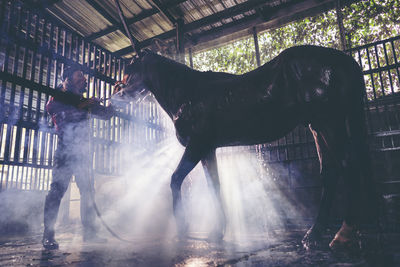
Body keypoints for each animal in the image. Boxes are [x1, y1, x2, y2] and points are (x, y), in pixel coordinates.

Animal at [112, 45, 378, 251]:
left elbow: (176, 178)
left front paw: (183, 227)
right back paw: (313, 235)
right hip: (318, 127)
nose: (116, 94)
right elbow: (214, 185)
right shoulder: (208, 150)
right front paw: (217, 231)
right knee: (331, 172)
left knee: (347, 166)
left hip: (329, 123)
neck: (188, 94)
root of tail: (345, 61)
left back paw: (342, 235)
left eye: (131, 66)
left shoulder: (197, 146)